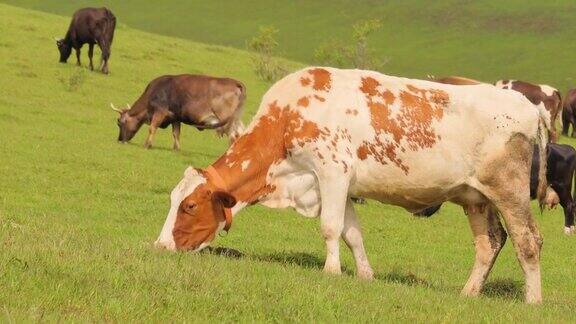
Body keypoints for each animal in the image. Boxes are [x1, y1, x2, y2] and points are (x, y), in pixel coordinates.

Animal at [112, 74, 245, 150]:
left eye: (119, 122)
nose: (119, 140)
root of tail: (235, 83)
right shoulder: (175, 117)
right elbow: (176, 133)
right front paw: (176, 149)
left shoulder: (160, 111)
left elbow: (152, 128)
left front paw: (146, 145)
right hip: (235, 118)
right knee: (240, 133)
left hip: (225, 119)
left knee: (232, 136)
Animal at [155, 67, 552, 302]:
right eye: (174, 201)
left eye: (189, 206)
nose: (159, 246)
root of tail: (528, 105)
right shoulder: (336, 184)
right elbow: (352, 233)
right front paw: (364, 275)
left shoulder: (332, 171)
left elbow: (330, 228)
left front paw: (331, 271)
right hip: (476, 198)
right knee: (490, 243)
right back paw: (469, 293)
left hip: (509, 190)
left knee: (528, 241)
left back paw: (532, 301)